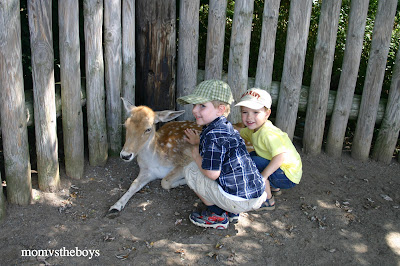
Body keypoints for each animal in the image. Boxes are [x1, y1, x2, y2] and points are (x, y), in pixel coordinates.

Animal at [106, 98, 253, 218]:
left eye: (148, 129)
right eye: (126, 124)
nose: (125, 155)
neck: (156, 159)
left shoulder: (185, 161)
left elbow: (164, 182)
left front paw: (182, 182)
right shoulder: (146, 171)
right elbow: (134, 184)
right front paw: (116, 206)